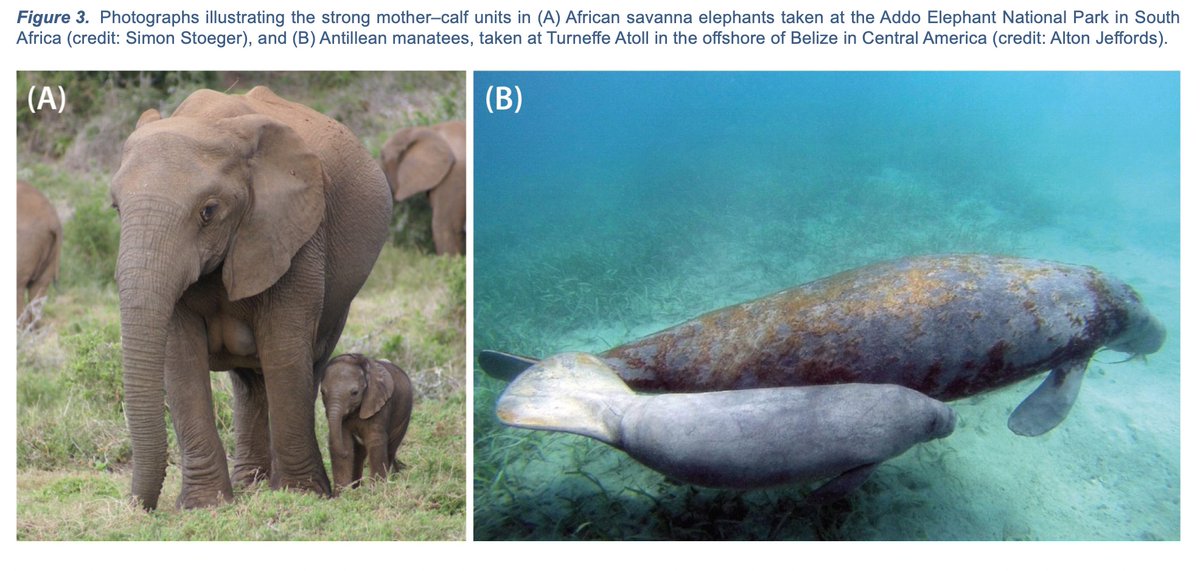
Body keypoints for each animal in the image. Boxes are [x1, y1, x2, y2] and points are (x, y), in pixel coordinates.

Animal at [109, 86, 392, 510]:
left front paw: (299, 495)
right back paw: (250, 484)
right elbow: (180, 358)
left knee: (307, 361)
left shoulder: (296, 230)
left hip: (339, 296)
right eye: (115, 207)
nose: (139, 507)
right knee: (248, 383)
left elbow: (284, 348)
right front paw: (206, 506)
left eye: (209, 211)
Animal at [320, 354, 414, 490]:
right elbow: (345, 440)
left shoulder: (379, 403)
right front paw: (344, 494)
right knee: (359, 454)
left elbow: (375, 441)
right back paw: (356, 487)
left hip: (404, 415)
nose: (344, 454)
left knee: (390, 449)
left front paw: (376, 490)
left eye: (355, 393)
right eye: (322, 392)